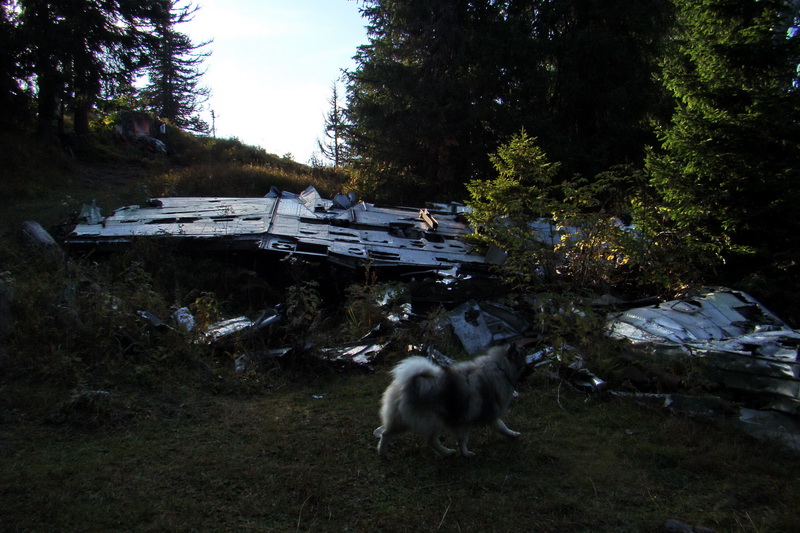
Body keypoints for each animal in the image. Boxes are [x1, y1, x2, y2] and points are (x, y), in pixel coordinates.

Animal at [374, 344, 524, 458]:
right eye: (523, 358)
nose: (530, 364)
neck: (500, 368)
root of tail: (409, 384)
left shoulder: (477, 419)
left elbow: (500, 427)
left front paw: (513, 434)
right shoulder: (471, 420)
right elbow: (467, 439)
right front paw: (466, 454)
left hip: (402, 420)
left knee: (386, 433)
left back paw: (382, 453)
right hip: (432, 421)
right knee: (431, 440)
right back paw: (446, 452)